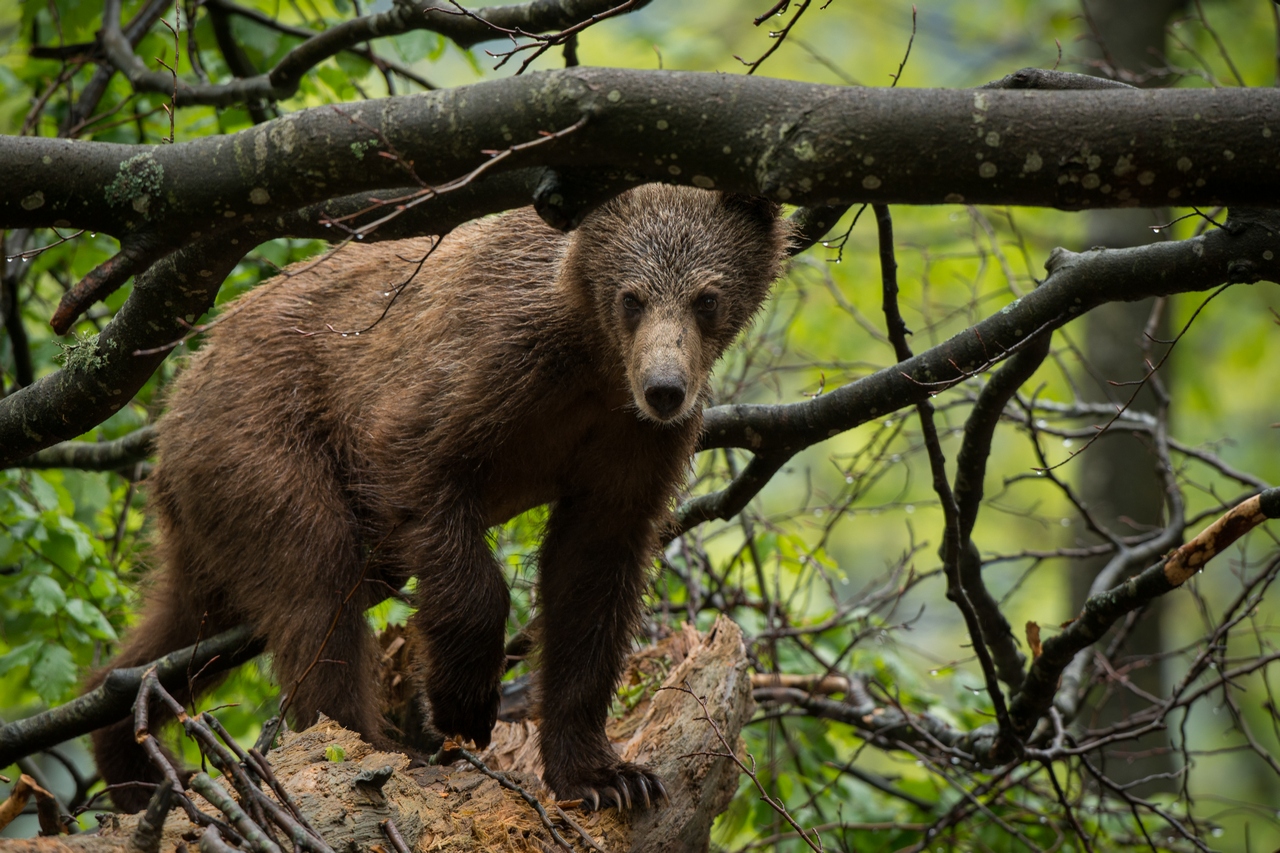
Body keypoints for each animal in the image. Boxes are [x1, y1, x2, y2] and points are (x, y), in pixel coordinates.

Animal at [86, 184, 791, 813]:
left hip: (216, 510)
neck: (591, 360)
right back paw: (363, 743)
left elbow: (592, 579)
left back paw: (128, 746)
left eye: (707, 298)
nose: (665, 389)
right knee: (316, 586)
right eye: (632, 298)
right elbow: (425, 479)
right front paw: (463, 701)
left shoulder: (626, 445)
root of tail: (174, 401)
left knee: (189, 624)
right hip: (263, 437)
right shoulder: (483, 366)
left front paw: (606, 776)